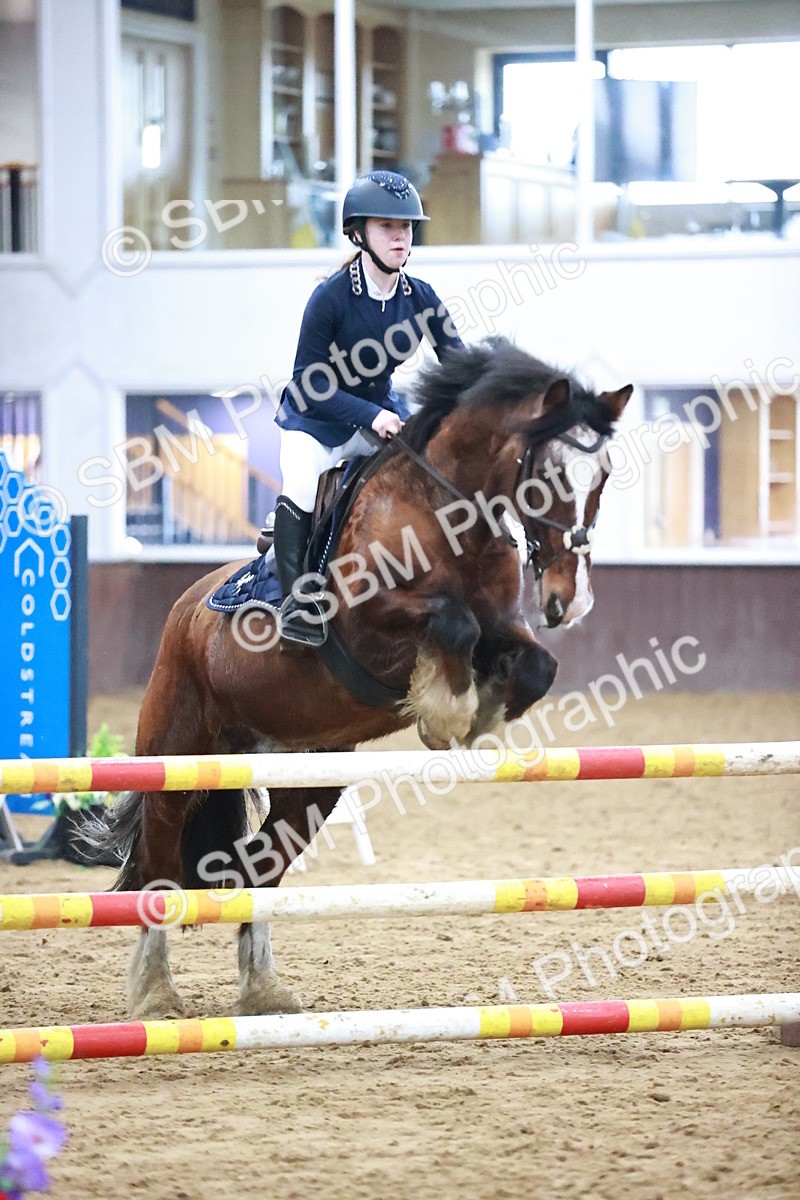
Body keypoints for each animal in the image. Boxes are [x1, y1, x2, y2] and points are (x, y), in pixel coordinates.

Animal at [91, 337, 631, 1019]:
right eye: (551, 474)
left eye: (603, 476)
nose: (570, 600)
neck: (450, 513)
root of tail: (184, 609)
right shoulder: (368, 627)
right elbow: (452, 623)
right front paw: (447, 714)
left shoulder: (507, 627)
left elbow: (534, 663)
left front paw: (478, 717)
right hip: (177, 754)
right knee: (158, 863)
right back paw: (156, 993)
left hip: (311, 780)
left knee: (260, 868)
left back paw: (263, 990)